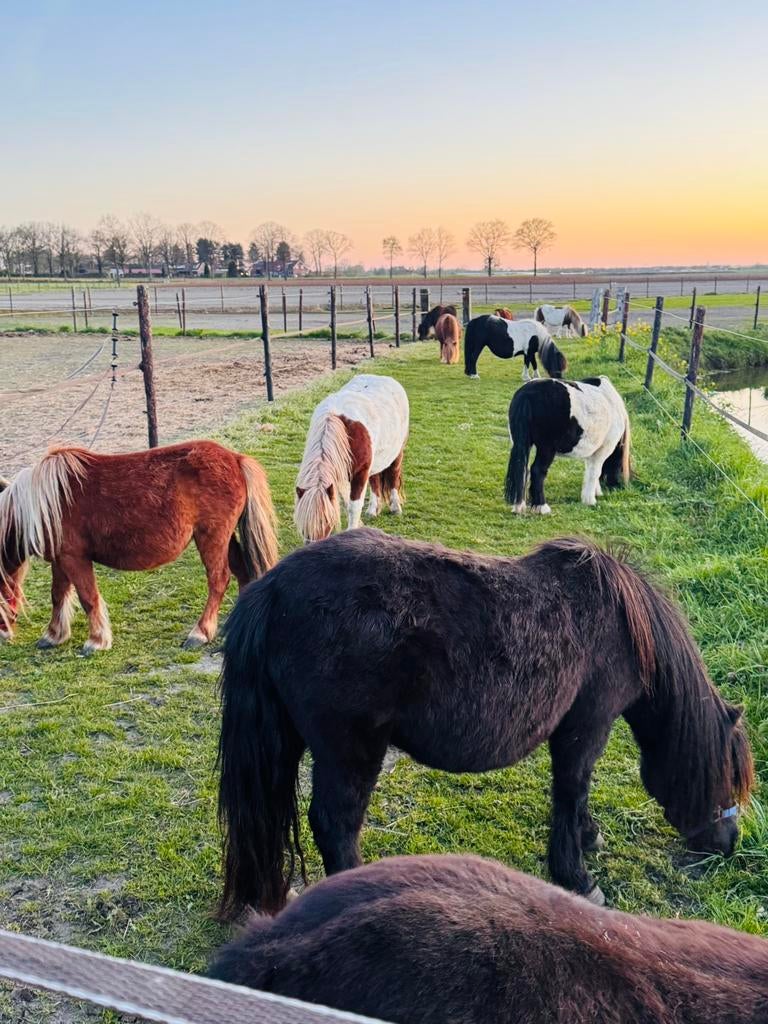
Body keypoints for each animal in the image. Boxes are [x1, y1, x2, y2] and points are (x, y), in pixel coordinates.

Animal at [0, 441, 277, 653]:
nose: (3, 634)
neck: (44, 504)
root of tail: (235, 458)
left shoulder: (74, 558)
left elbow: (88, 597)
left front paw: (96, 641)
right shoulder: (61, 560)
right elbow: (58, 595)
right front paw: (54, 635)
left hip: (212, 537)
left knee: (219, 580)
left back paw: (200, 632)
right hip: (225, 538)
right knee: (242, 573)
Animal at [217, 529, 753, 918]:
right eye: (728, 776)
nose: (730, 845)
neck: (622, 624)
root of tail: (272, 588)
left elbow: (577, 794)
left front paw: (588, 836)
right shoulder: (587, 724)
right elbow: (572, 788)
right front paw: (577, 877)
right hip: (351, 752)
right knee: (335, 826)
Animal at [294, 374, 408, 542]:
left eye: (325, 521)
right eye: (303, 526)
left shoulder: (360, 473)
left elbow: (354, 506)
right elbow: (349, 502)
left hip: (397, 452)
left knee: (393, 475)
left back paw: (395, 507)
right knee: (375, 480)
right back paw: (373, 510)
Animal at [505, 376, 630, 515]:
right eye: (621, 467)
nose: (620, 486)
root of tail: (527, 394)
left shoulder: (592, 453)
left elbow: (590, 471)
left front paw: (595, 493)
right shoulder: (603, 450)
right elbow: (595, 472)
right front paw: (590, 500)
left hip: (521, 444)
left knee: (522, 469)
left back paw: (519, 507)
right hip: (546, 449)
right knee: (537, 470)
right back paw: (542, 507)